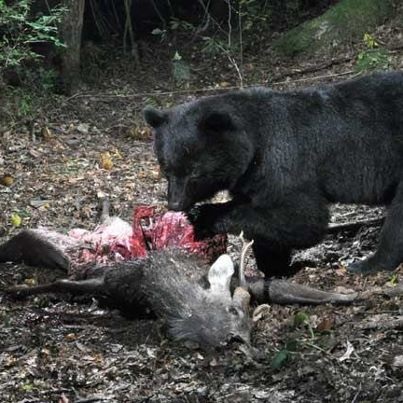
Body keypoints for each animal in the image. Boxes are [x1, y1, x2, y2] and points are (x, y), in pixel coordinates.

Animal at [144, 72, 403, 278]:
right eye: (165, 168)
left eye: (195, 171)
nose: (175, 203)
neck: (254, 146)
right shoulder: (252, 179)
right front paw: (276, 266)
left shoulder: (285, 164)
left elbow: (302, 218)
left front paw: (204, 216)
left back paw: (369, 263)